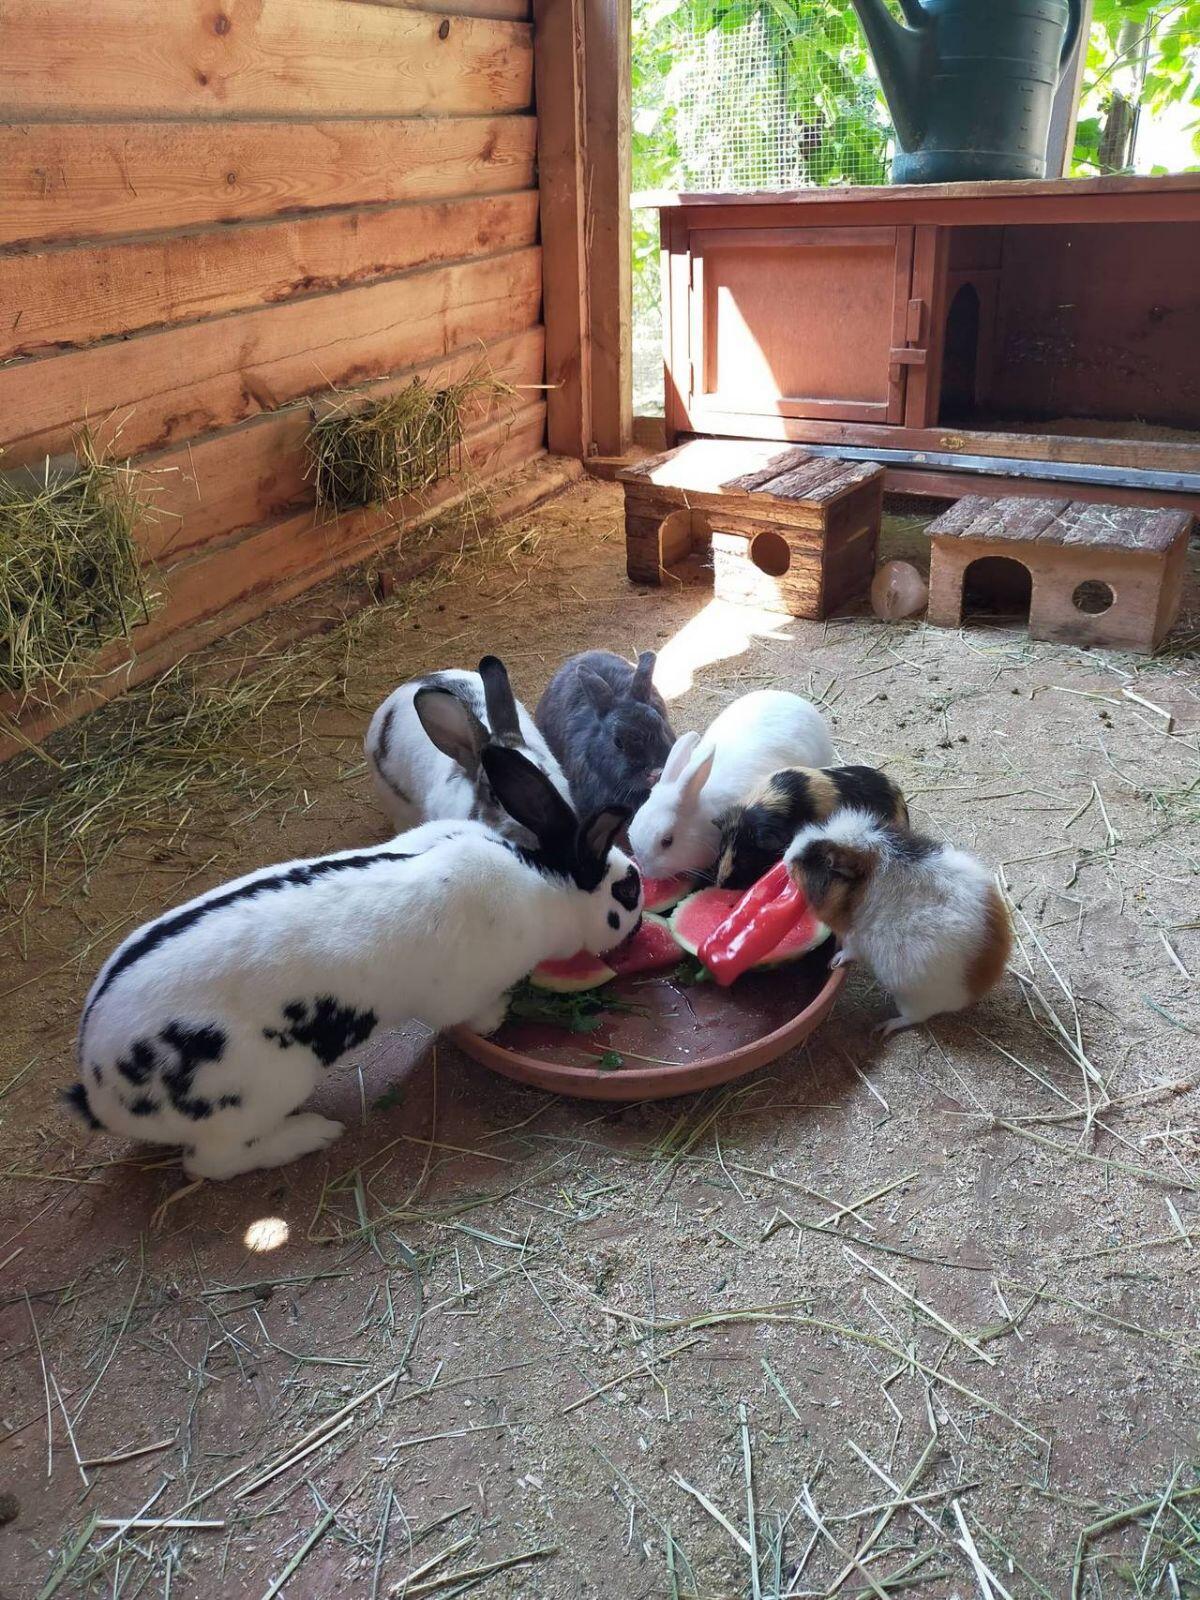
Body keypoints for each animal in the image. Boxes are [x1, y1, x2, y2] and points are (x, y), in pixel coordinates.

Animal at [67, 746, 642, 1180]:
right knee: (211, 1162)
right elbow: (474, 1016)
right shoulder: (461, 995)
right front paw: (501, 1014)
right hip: (254, 1094)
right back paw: (310, 1134)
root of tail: (100, 1088)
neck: (548, 886)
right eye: (628, 892)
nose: (637, 933)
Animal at [785, 808, 1011, 1035]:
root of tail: (979, 980)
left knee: (914, 1018)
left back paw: (882, 1029)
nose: (787, 856)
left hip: (911, 1000)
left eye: (821, 861)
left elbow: (847, 952)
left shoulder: (855, 941)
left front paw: (834, 962)